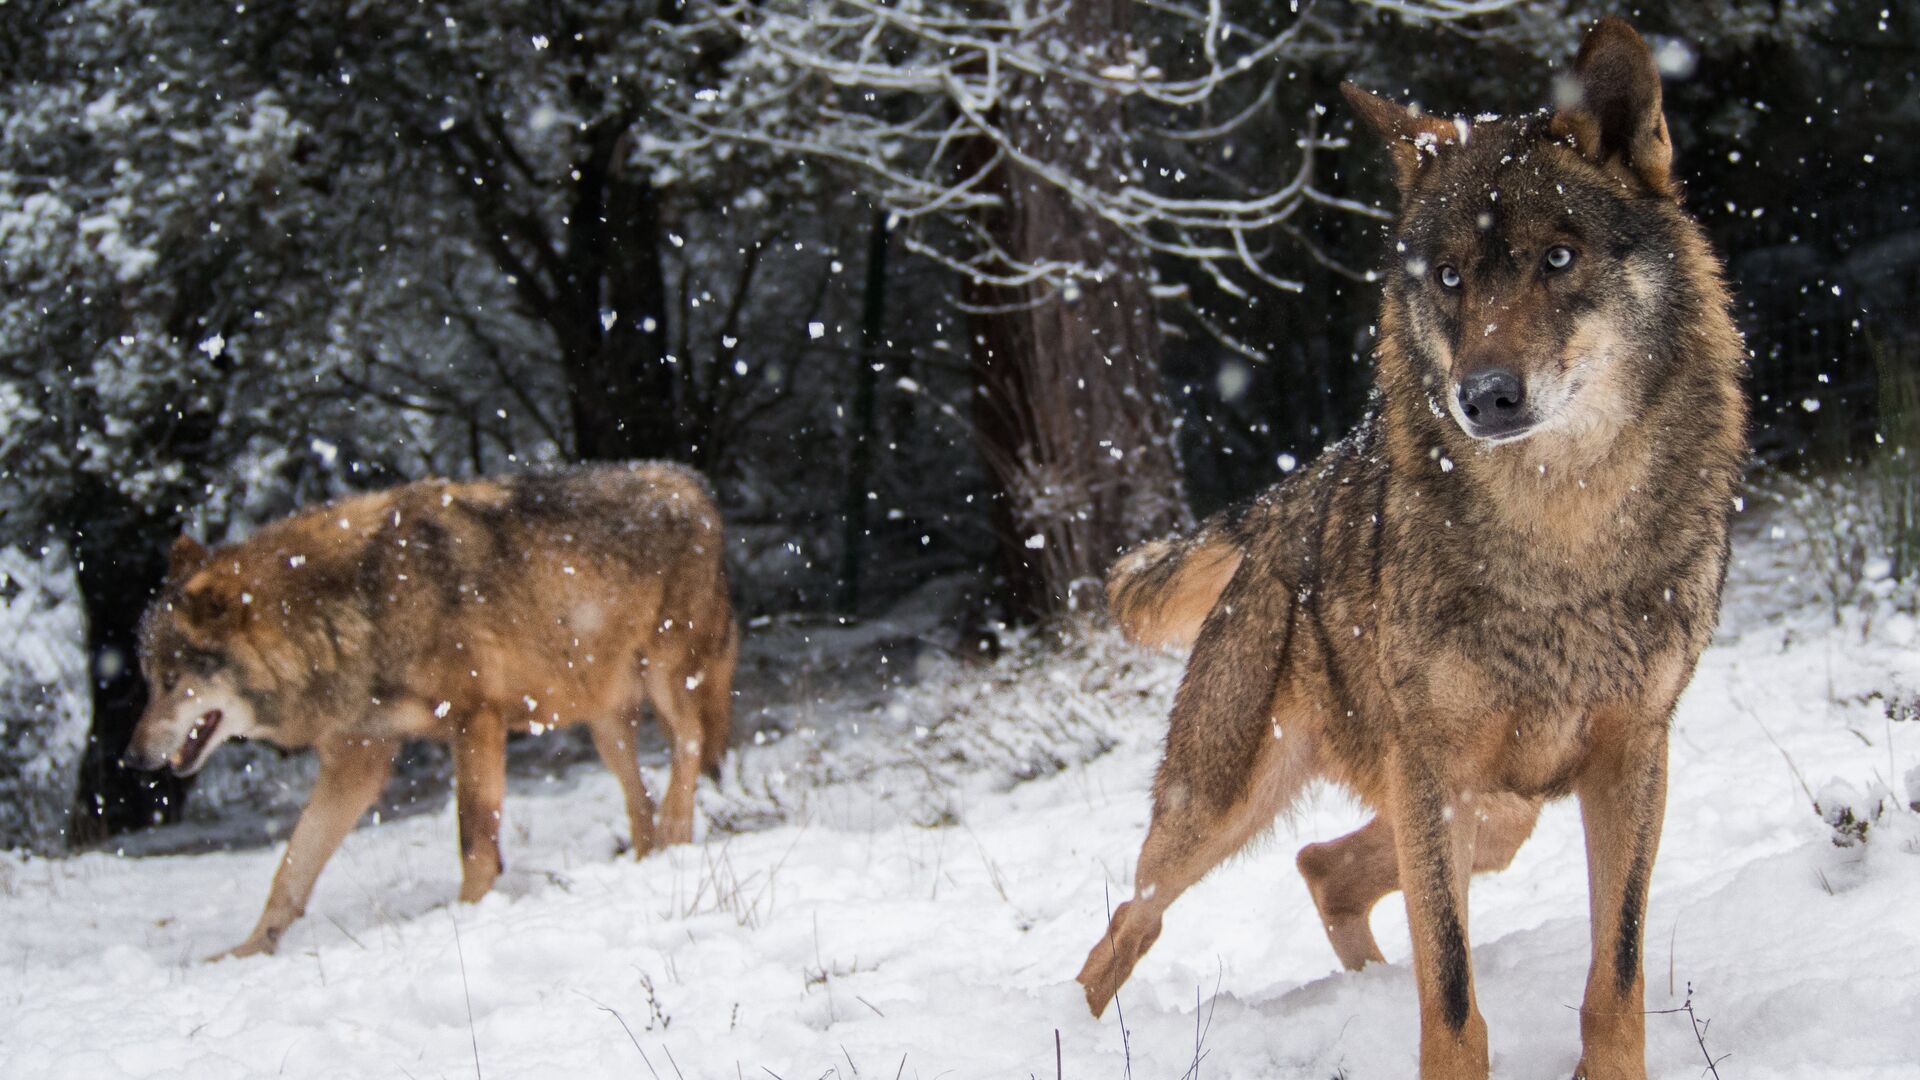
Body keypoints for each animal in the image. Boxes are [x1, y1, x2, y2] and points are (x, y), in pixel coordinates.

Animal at [127, 457, 737, 953]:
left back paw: (677, 832)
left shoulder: (476, 721)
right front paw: (248, 950)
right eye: (148, 681)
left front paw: (468, 915)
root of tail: (695, 486)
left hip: (666, 677)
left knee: (689, 744)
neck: (357, 608)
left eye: (172, 680)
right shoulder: (358, 759)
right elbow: (292, 867)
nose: (132, 759)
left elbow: (474, 838)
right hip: (604, 724)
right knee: (640, 795)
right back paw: (649, 857)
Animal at [1075, 18, 1751, 1076]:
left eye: (1559, 258)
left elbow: (1619, 972)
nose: (1486, 397)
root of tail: (1284, 499)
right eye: (1449, 276)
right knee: (1126, 928)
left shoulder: (1636, 754)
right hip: (1231, 806)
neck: (1561, 533)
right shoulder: (1433, 771)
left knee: (1323, 866)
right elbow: (1455, 991)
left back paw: (1364, 987)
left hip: (1497, 807)